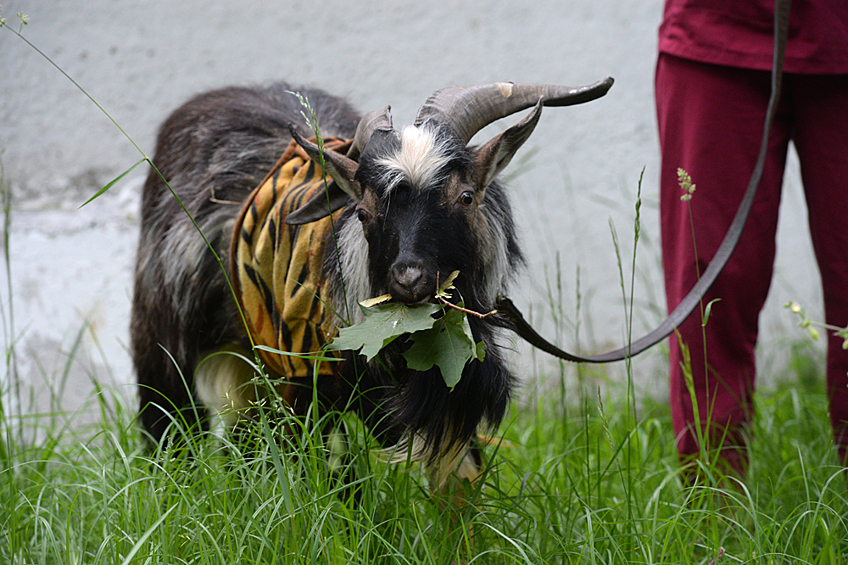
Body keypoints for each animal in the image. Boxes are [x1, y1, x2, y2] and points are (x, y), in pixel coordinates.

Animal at [131, 78, 608, 490]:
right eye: (363, 212)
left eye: (465, 197)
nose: (409, 278)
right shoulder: (304, 389)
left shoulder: (451, 404)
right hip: (168, 348)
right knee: (173, 431)